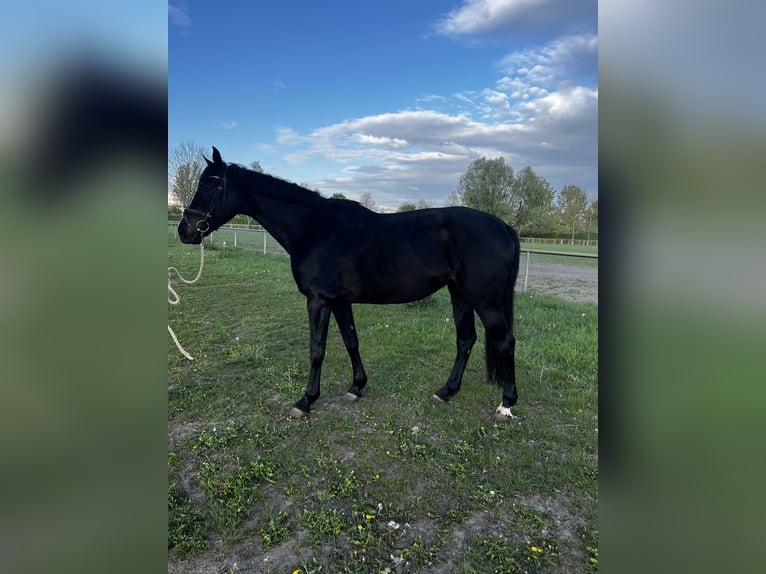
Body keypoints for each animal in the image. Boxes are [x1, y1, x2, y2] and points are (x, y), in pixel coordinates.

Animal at [178, 146, 524, 420]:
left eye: (209, 185)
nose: (185, 231)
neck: (312, 227)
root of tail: (504, 226)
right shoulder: (340, 301)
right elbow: (351, 341)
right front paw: (357, 387)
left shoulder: (318, 300)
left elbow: (317, 350)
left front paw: (306, 401)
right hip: (460, 294)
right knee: (465, 340)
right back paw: (446, 391)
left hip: (485, 301)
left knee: (504, 342)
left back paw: (506, 404)